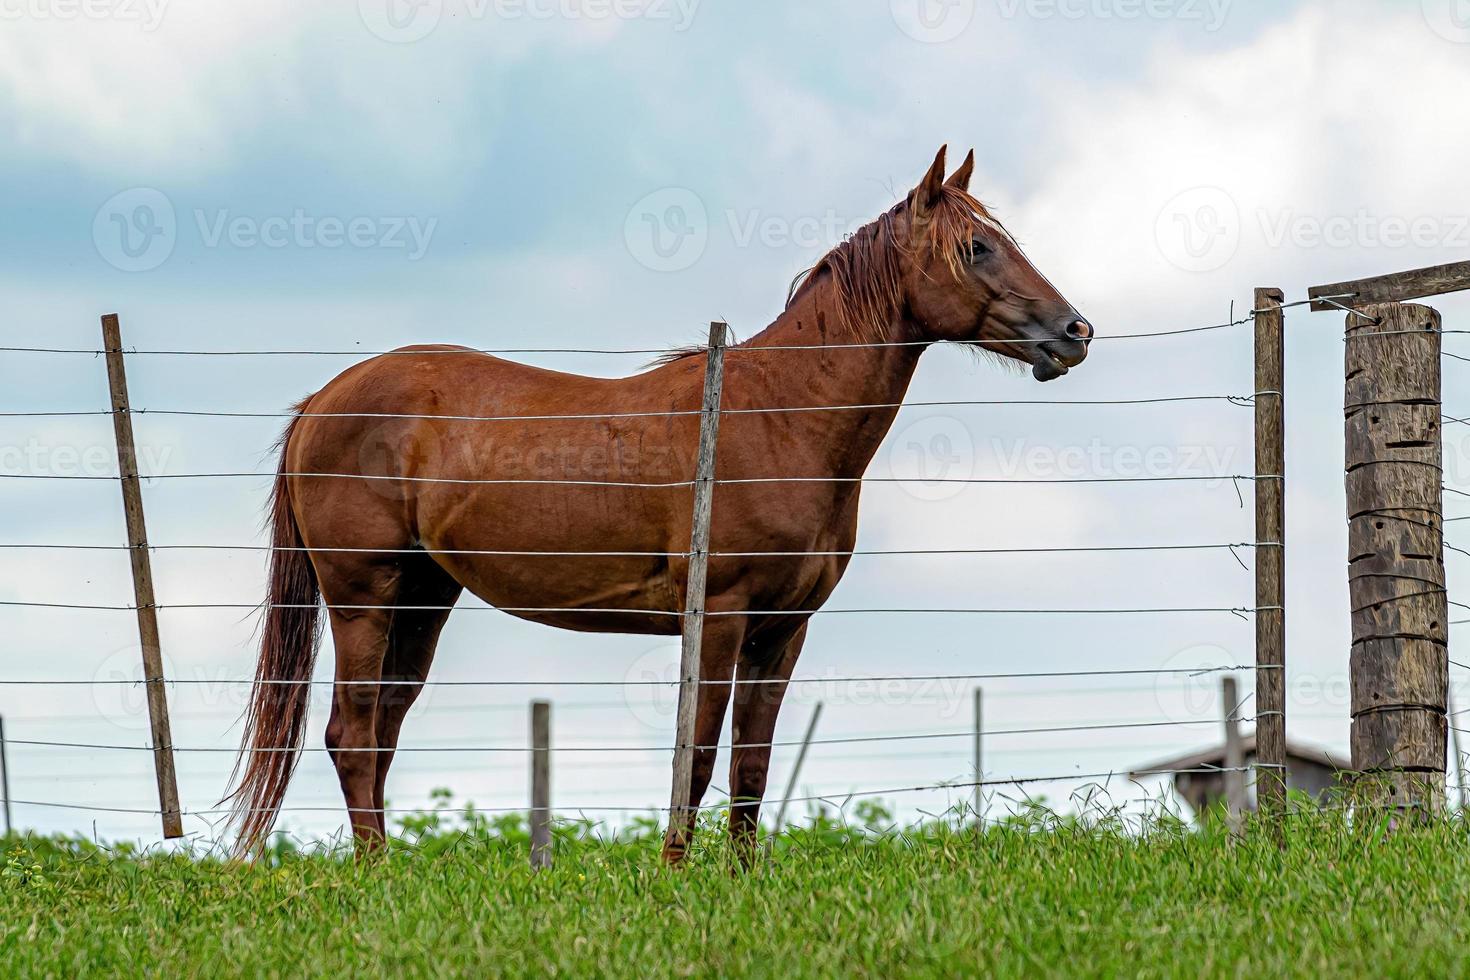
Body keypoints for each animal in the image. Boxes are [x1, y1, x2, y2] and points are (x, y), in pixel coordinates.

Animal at [226, 145, 1093, 858]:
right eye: (976, 247)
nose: (1074, 333)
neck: (778, 415)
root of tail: (323, 400)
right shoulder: (720, 617)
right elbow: (697, 756)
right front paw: (676, 874)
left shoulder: (782, 631)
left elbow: (752, 765)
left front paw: (742, 880)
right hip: (363, 594)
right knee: (352, 733)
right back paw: (376, 875)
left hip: (423, 596)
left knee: (382, 731)